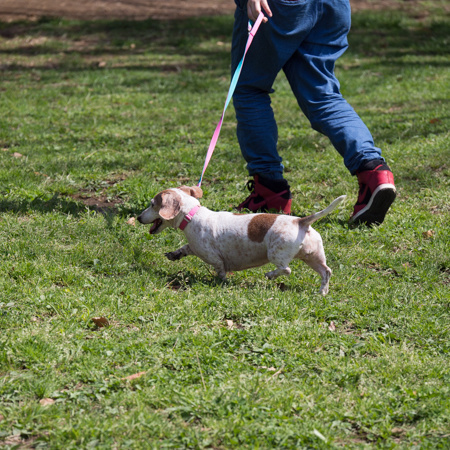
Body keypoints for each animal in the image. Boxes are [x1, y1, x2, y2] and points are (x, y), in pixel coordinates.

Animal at [137, 185, 344, 296]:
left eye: (152, 204)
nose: (138, 218)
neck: (192, 215)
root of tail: (301, 221)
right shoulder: (195, 247)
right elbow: (185, 248)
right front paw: (174, 254)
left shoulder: (214, 257)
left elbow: (220, 270)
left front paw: (219, 282)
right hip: (313, 257)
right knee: (326, 272)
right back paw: (322, 292)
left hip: (276, 254)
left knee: (286, 269)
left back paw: (270, 275)